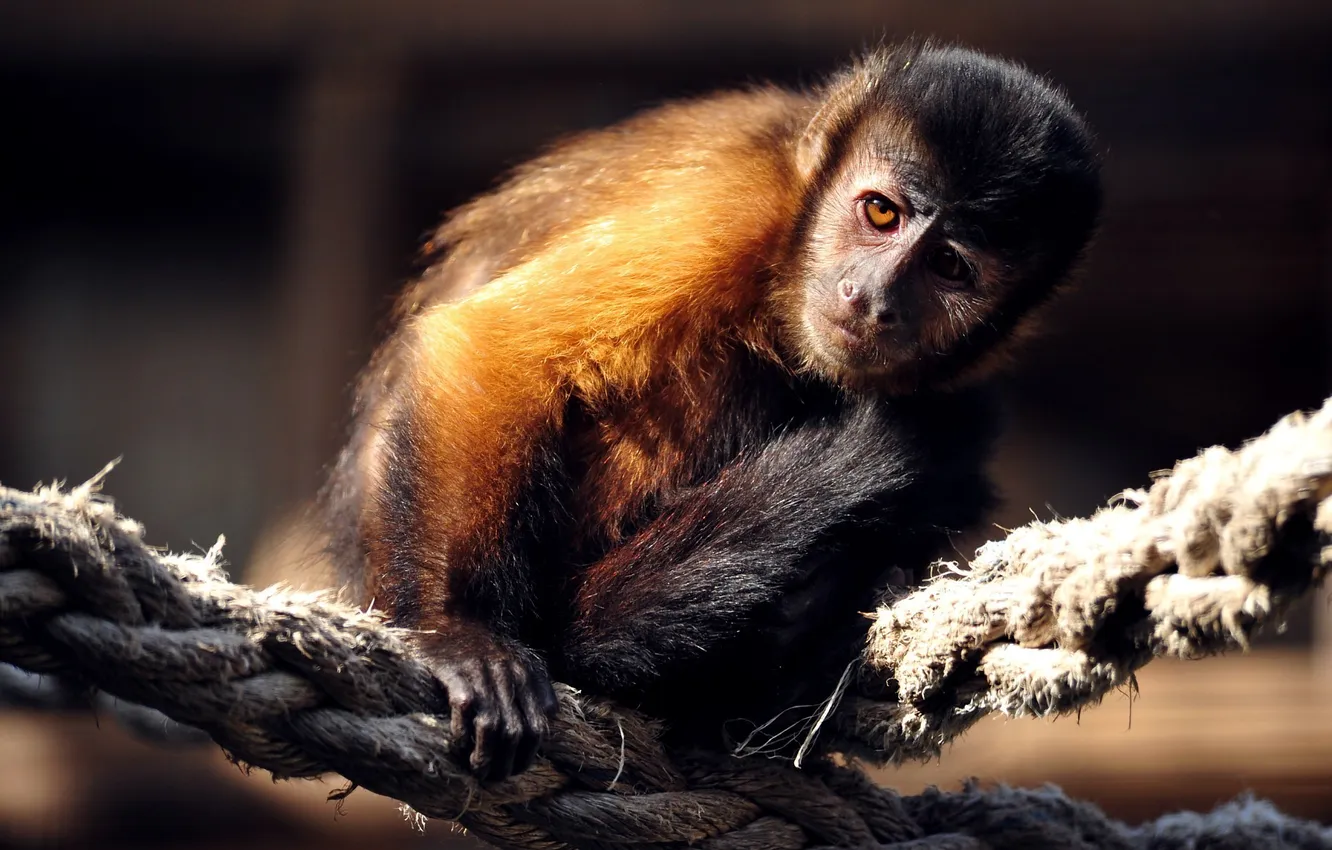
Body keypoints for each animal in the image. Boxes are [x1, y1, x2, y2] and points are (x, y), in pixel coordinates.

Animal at [325, 43, 1101, 782]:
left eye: (949, 267)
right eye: (882, 213)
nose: (871, 298)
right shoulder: (725, 210)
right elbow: (493, 350)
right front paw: (456, 631)